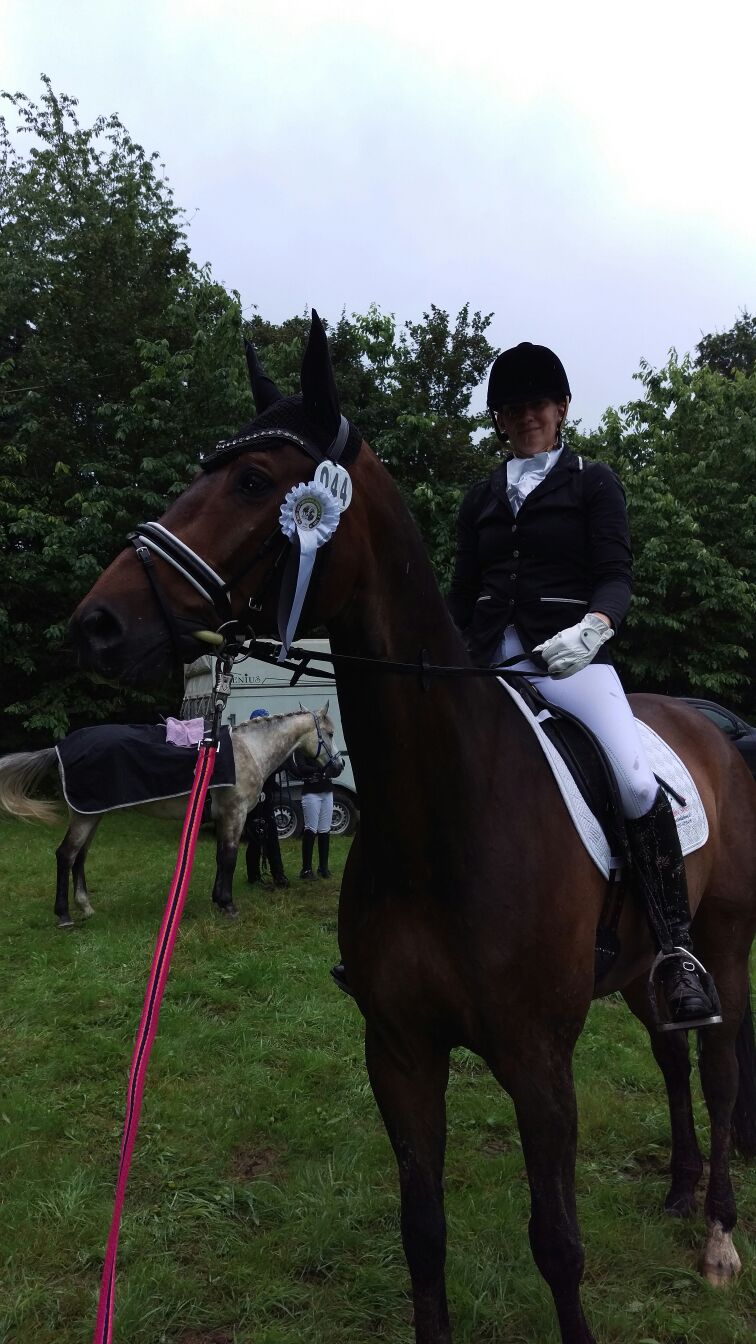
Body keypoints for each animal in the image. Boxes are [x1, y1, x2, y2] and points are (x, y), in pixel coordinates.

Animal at [0, 704, 341, 928]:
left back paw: (85, 907)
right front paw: (228, 905)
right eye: (329, 733)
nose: (337, 767)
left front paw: (218, 900)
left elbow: (220, 857)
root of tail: (61, 747)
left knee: (79, 857)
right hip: (85, 817)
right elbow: (229, 857)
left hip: (90, 813)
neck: (249, 750)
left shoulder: (224, 816)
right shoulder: (235, 812)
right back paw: (64, 915)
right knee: (66, 855)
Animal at [67, 313, 756, 1344]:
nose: (98, 624)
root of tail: (710, 725)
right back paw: (677, 1191)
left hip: (721, 939)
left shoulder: (537, 1061)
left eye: (255, 481)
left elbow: (558, 1243)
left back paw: (715, 1236)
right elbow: (421, 1236)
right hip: (641, 964)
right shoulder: (398, 1049)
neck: (449, 815)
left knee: (715, 1070)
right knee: (672, 1055)